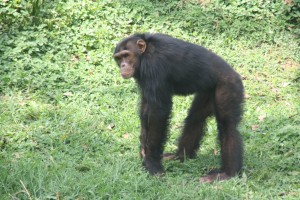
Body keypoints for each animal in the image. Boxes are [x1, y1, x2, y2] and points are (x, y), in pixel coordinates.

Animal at [112, 32, 244, 183]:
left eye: (126, 55)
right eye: (119, 58)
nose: (122, 65)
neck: (143, 55)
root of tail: (236, 74)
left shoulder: (154, 66)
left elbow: (158, 112)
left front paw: (152, 162)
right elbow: (146, 109)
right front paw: (143, 153)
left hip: (228, 86)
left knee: (227, 126)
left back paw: (228, 173)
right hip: (207, 91)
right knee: (195, 118)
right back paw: (179, 156)